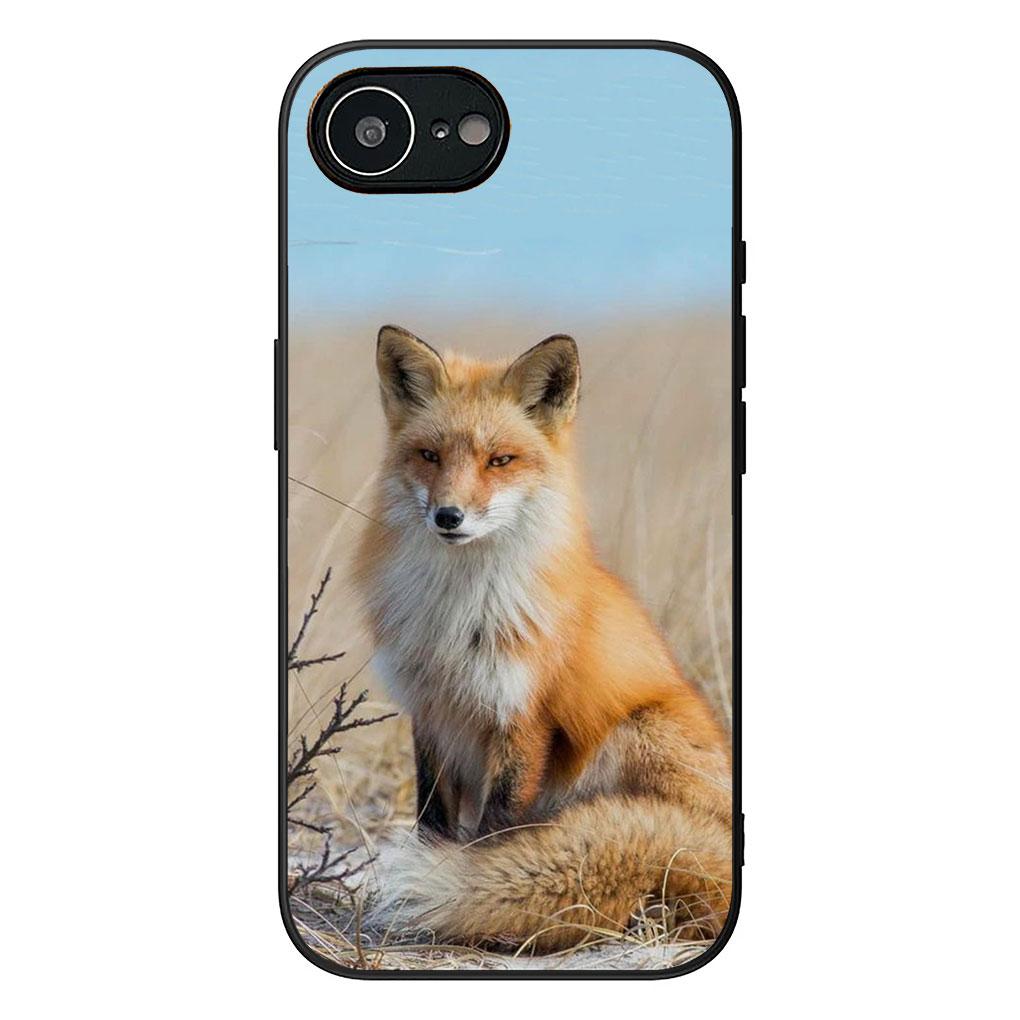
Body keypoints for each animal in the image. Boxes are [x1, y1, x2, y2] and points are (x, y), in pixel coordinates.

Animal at [353, 324, 733, 951]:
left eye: (499, 460)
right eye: (429, 456)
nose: (448, 516)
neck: (459, 618)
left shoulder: (523, 714)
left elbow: (494, 830)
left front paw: (471, 889)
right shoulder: (430, 709)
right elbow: (431, 816)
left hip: (636, 731)